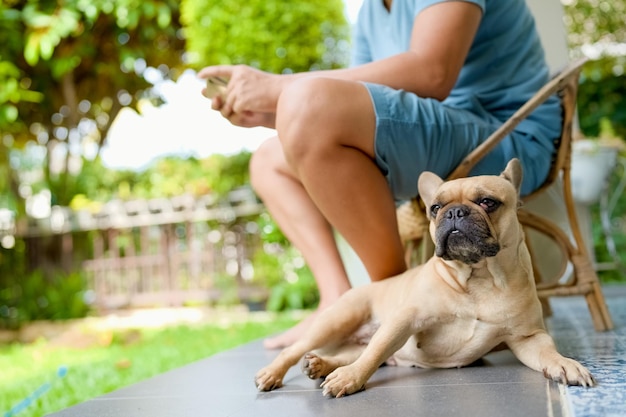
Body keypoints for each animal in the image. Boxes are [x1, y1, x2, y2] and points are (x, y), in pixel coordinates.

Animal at [252, 158, 588, 396]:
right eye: (435, 208)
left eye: (488, 202)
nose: (454, 212)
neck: (478, 277)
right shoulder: (405, 319)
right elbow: (376, 351)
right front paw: (351, 379)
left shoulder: (528, 337)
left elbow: (547, 351)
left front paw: (565, 364)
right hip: (337, 320)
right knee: (304, 350)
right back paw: (276, 373)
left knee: (355, 352)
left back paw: (321, 364)